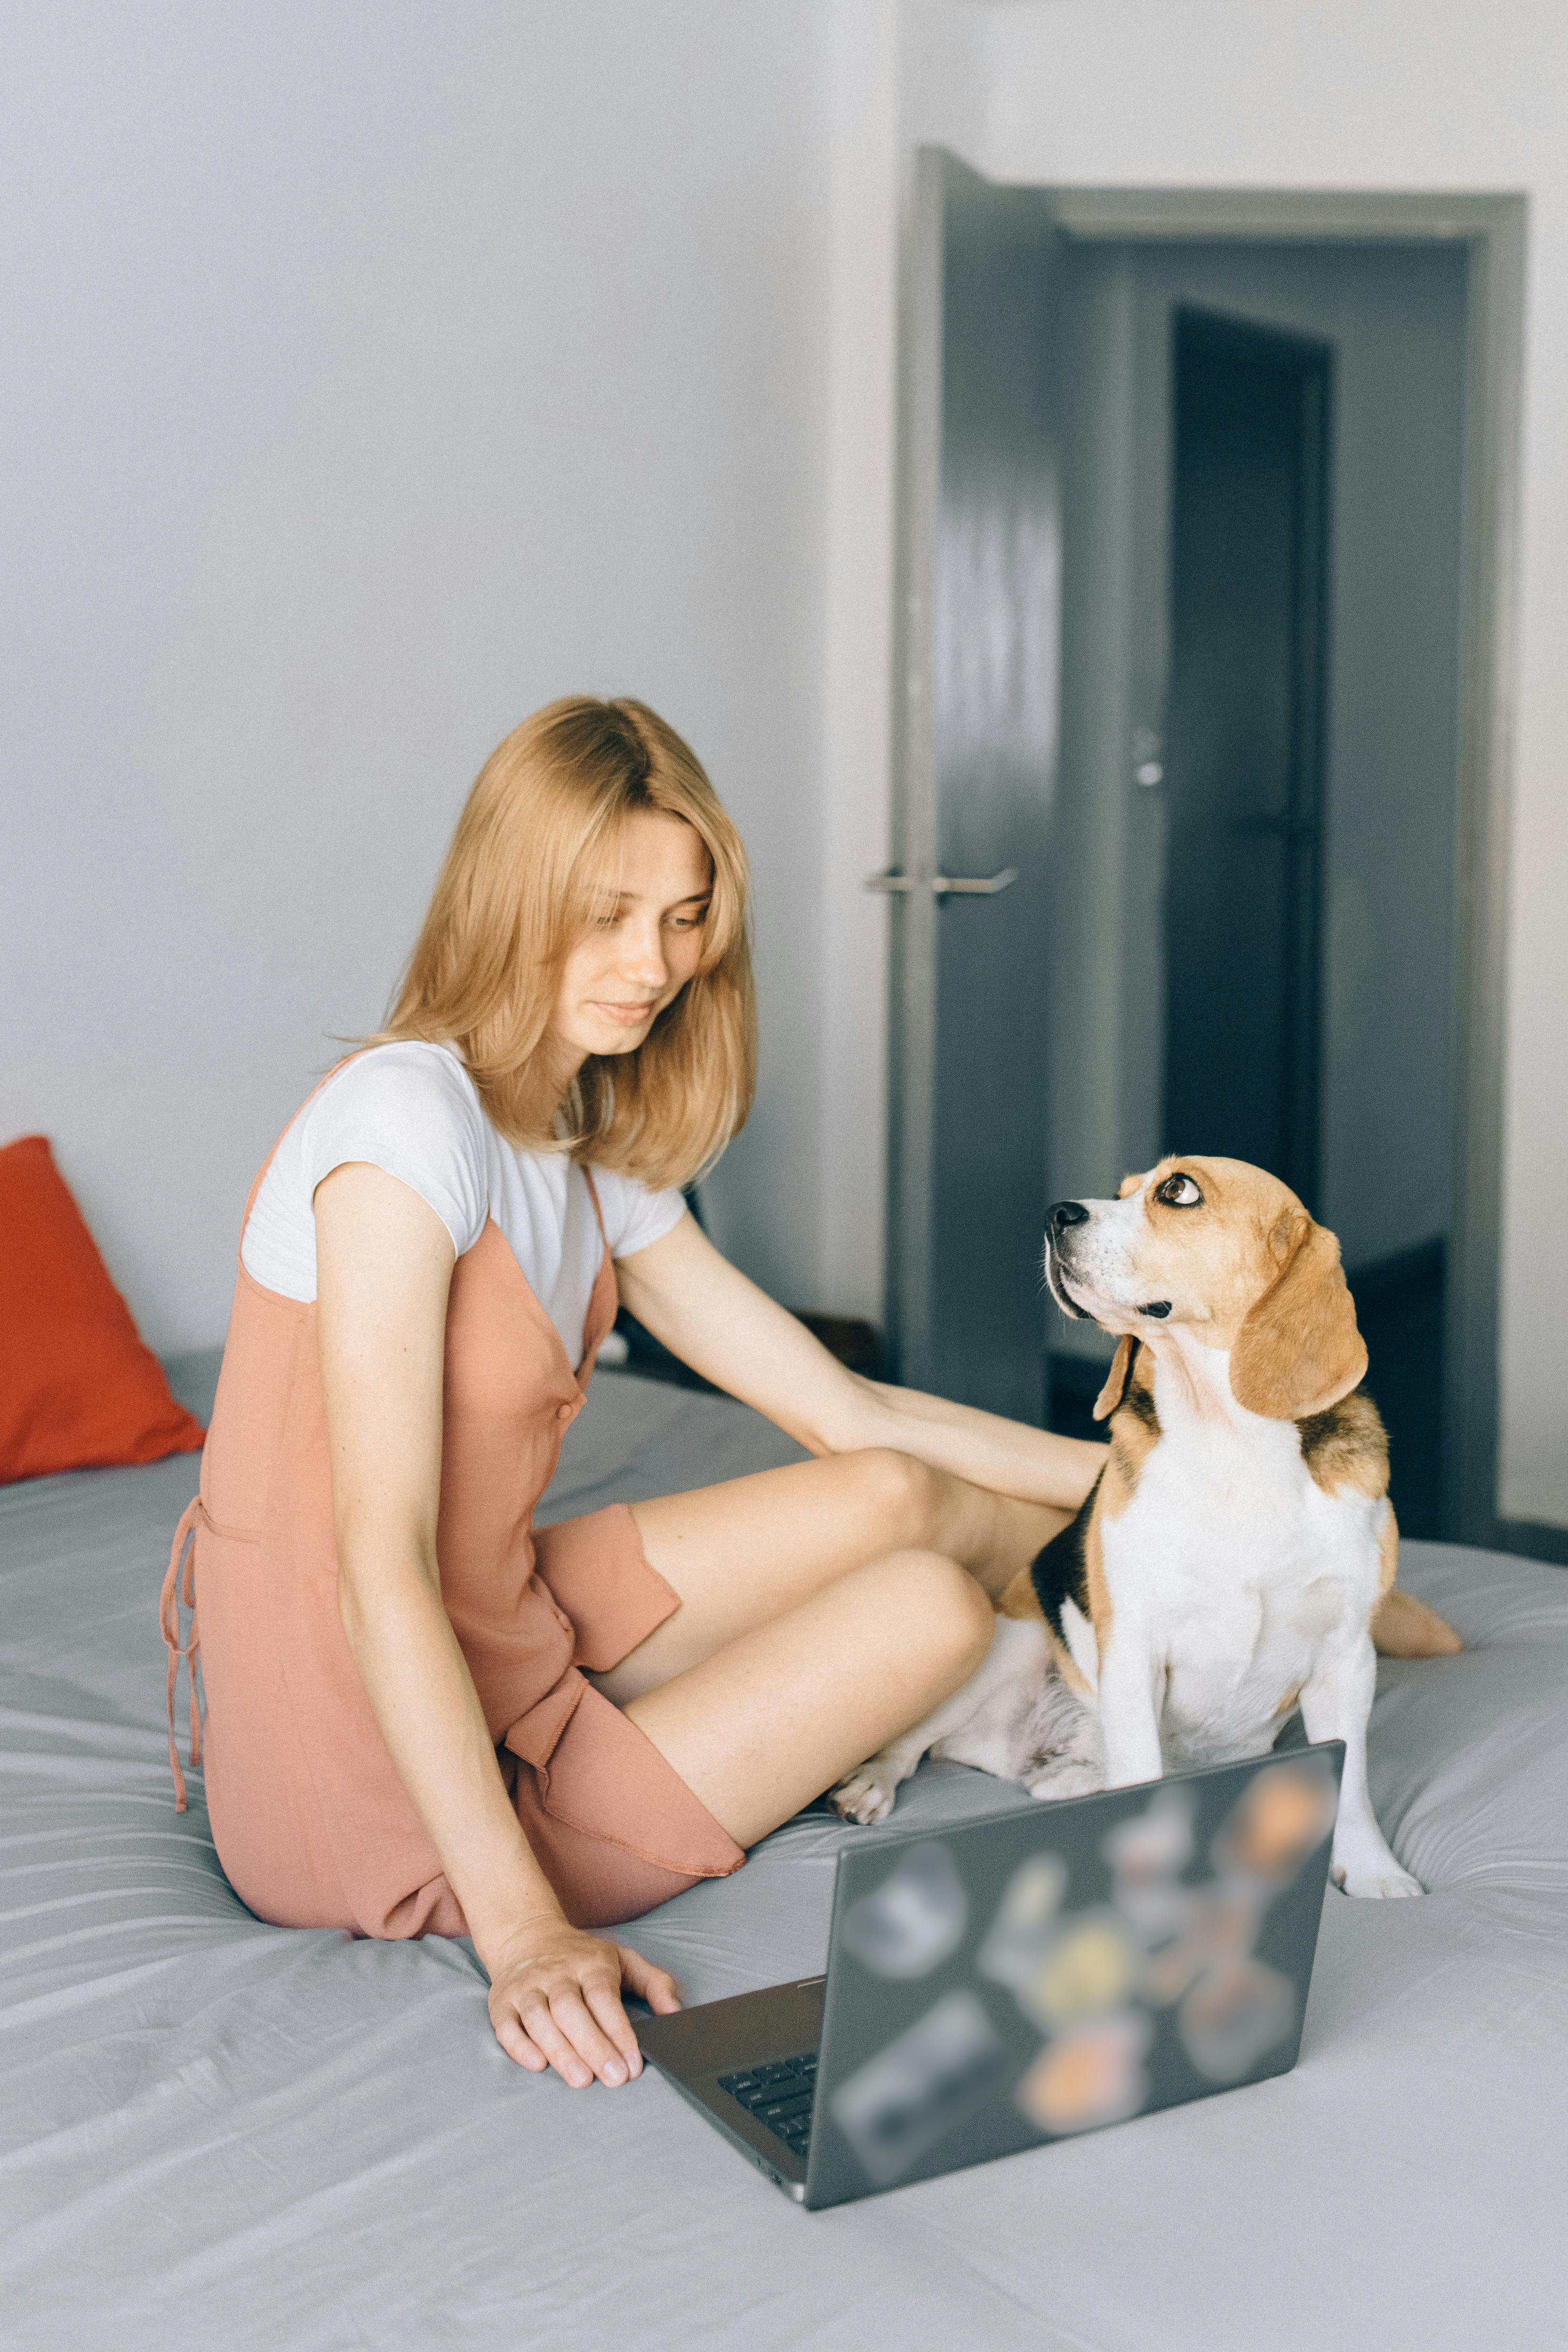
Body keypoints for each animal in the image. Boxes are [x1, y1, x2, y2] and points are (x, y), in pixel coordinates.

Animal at [832, 1148, 1457, 1900]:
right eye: (1121, 1189)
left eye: (1177, 1191)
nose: (1054, 1214)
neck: (1228, 1441)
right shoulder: (1132, 1647)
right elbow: (1142, 1771)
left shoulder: (1346, 1657)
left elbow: (1355, 1782)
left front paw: (1370, 1872)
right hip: (1010, 1640)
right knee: (913, 1740)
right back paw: (872, 1782)